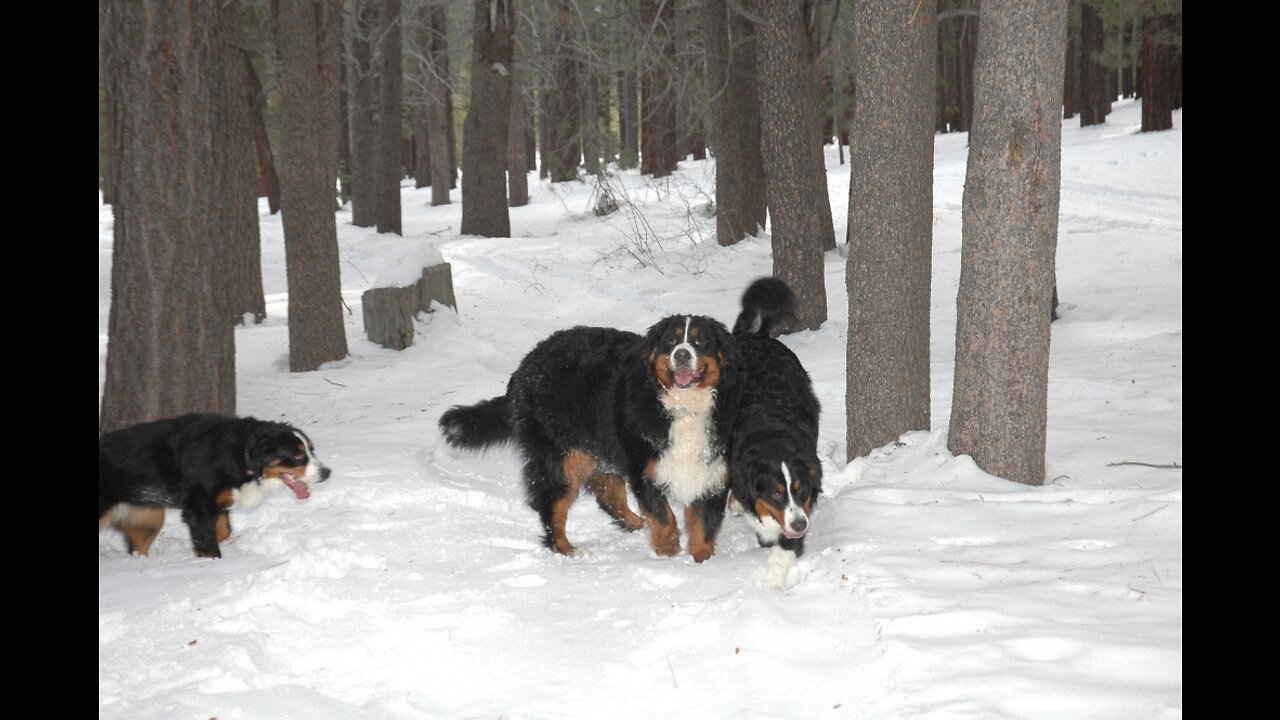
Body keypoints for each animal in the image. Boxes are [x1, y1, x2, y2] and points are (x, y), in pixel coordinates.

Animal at [100, 412, 330, 558]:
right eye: (298, 456)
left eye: (311, 449)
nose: (327, 473)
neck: (240, 454)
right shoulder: (200, 508)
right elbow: (209, 544)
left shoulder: (218, 504)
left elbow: (223, 532)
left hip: (148, 516)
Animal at [440, 313, 742, 561]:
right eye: (671, 341)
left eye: (700, 342)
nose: (681, 354)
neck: (683, 407)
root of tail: (525, 366)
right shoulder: (644, 465)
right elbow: (663, 514)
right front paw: (667, 549)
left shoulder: (713, 469)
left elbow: (705, 523)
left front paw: (703, 560)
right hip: (562, 456)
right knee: (553, 504)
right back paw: (566, 548)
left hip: (599, 447)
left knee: (608, 494)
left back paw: (637, 524)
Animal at [727, 278, 824, 586]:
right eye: (777, 494)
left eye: (800, 488)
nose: (800, 524)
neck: (771, 432)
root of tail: (755, 336)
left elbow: (784, 548)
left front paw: (773, 580)